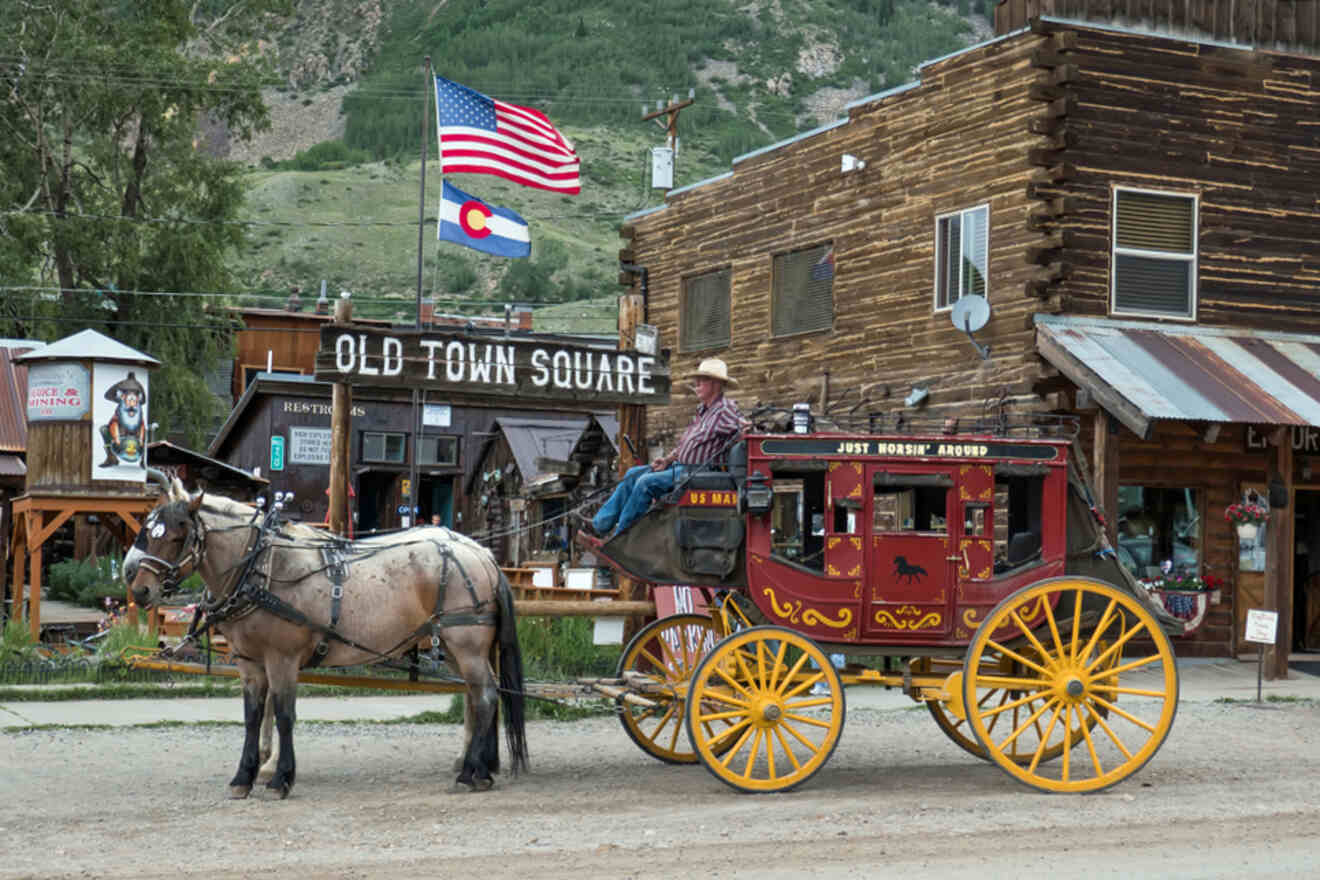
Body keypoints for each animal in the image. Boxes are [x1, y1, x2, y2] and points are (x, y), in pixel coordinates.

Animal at [124, 477, 525, 802]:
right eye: (147, 529)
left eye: (177, 535)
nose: (139, 588)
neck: (263, 567)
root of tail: (482, 554)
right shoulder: (249, 662)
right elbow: (253, 717)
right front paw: (243, 778)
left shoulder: (282, 659)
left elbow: (284, 715)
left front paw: (280, 780)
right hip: (458, 649)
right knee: (478, 698)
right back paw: (481, 770)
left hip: (466, 646)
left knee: (485, 697)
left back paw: (468, 773)